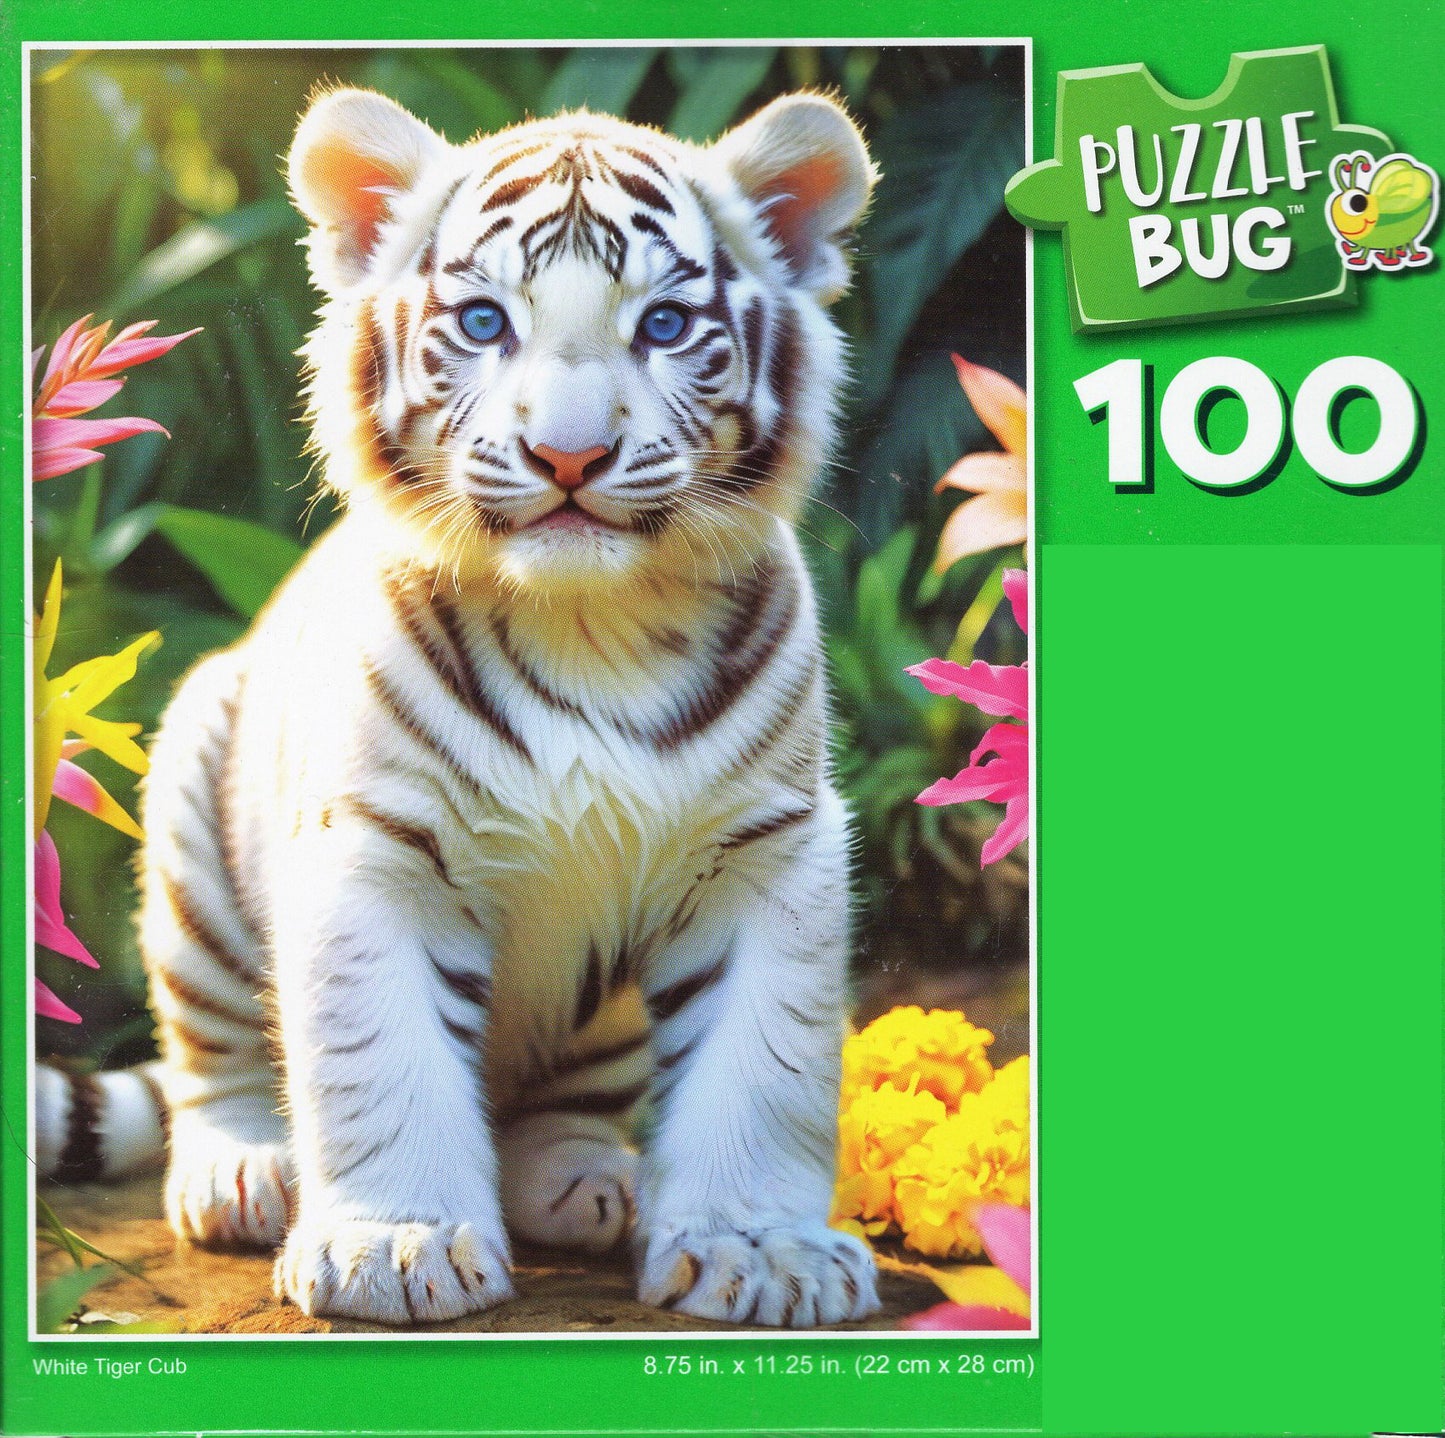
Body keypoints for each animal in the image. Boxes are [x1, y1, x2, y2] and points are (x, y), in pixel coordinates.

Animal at [36, 83, 882, 1329]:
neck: (589, 626)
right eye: (484, 324)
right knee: (215, 1055)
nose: (569, 455)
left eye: (662, 328)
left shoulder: (766, 847)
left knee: (561, 1107)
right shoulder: (374, 844)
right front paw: (394, 1248)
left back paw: (583, 1183)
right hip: (194, 825)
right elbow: (380, 1063)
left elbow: (760, 1068)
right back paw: (242, 1172)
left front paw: (761, 1250)